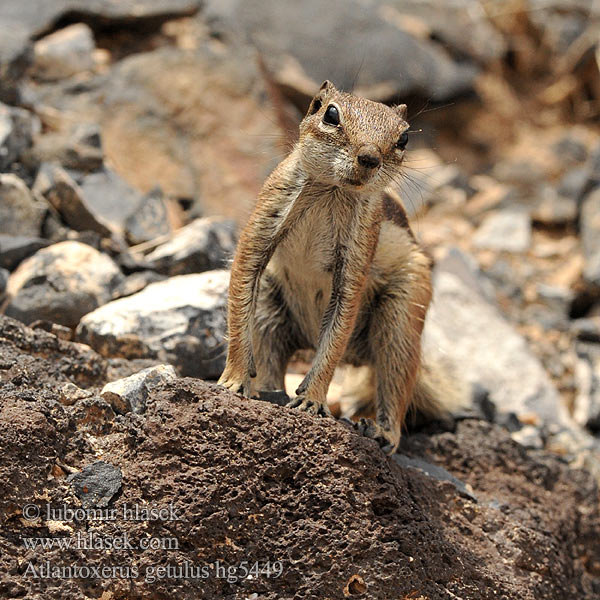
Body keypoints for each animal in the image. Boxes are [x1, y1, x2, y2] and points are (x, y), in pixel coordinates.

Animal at [218, 81, 466, 454]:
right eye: (330, 114)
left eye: (404, 138)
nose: (369, 157)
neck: (331, 189)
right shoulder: (266, 214)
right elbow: (242, 285)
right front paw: (233, 380)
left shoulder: (358, 255)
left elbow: (336, 334)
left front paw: (312, 400)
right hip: (269, 307)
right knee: (268, 352)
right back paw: (264, 389)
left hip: (403, 316)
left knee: (395, 380)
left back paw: (381, 431)